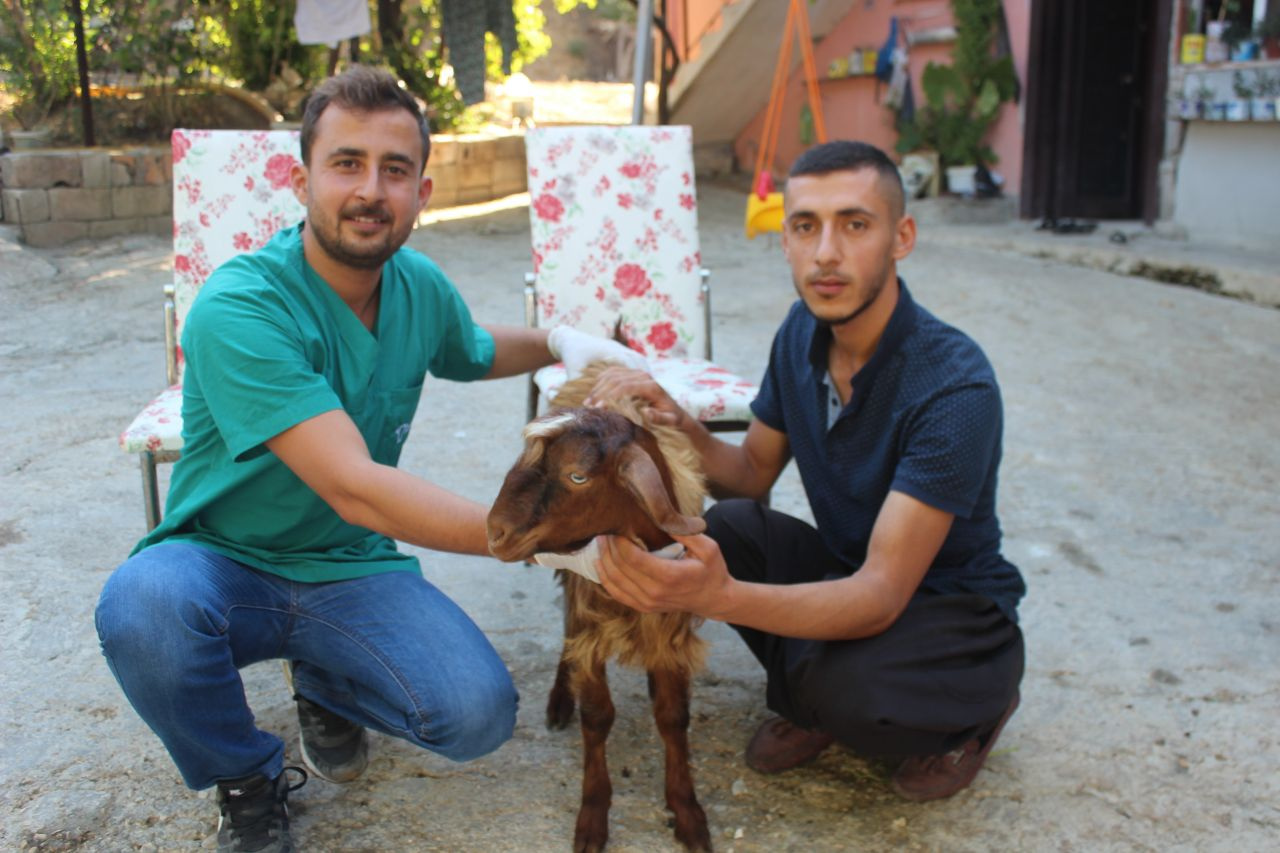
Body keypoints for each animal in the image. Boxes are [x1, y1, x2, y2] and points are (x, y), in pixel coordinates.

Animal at [486, 363, 716, 850]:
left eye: (577, 476)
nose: (494, 533)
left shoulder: (669, 632)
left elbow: (673, 717)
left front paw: (687, 810)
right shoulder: (590, 626)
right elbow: (597, 716)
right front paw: (593, 814)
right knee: (566, 636)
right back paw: (559, 698)